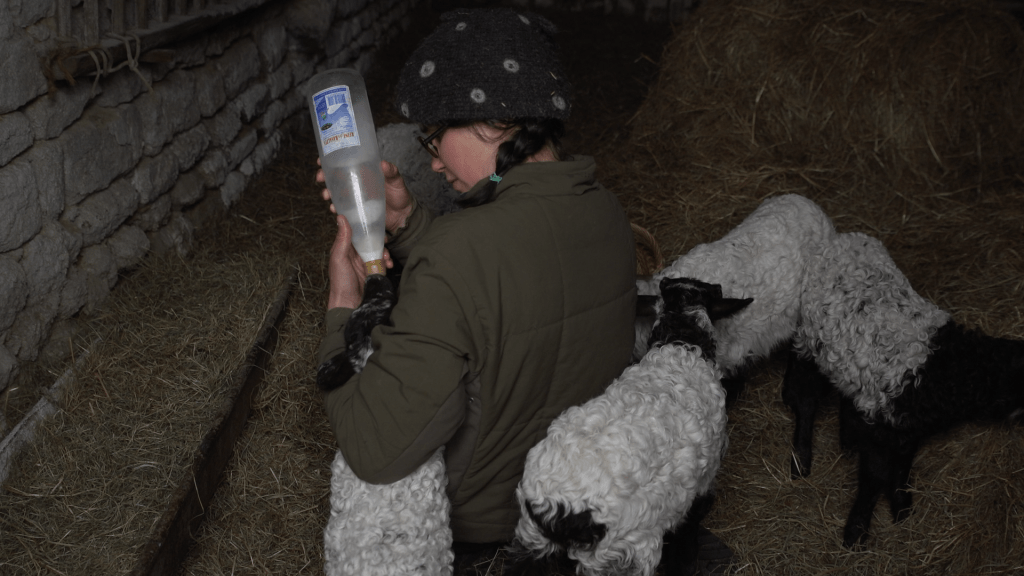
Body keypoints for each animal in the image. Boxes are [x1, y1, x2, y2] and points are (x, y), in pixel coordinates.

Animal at [511, 277, 751, 576]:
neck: (680, 346)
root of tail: (561, 511)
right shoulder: (705, 479)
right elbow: (687, 536)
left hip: (531, 538)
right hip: (623, 555)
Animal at [786, 231, 1024, 547]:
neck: (943, 367)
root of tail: (838, 239)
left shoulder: (904, 426)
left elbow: (902, 465)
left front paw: (901, 507)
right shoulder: (882, 425)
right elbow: (875, 476)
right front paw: (856, 532)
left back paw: (847, 437)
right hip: (809, 340)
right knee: (805, 397)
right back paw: (801, 460)